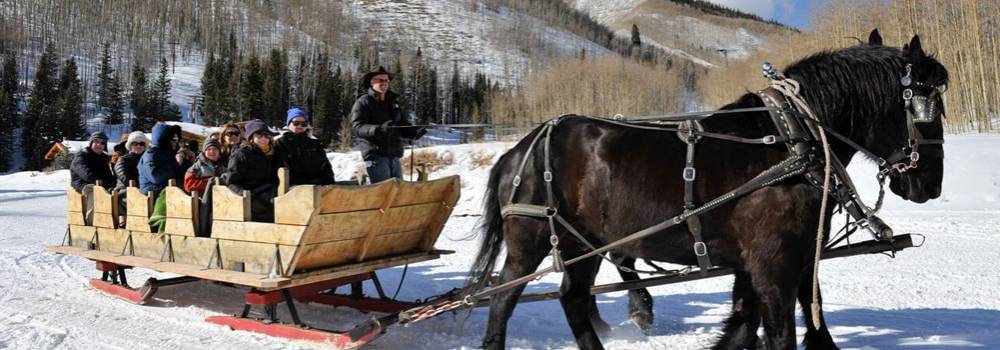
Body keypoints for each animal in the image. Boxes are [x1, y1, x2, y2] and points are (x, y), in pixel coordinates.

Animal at [466, 30, 944, 350]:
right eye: (928, 109)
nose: (931, 184)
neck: (794, 139)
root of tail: (518, 149)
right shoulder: (774, 263)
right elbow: (778, 332)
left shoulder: (780, 260)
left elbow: (754, 328)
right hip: (532, 242)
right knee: (503, 300)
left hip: (583, 244)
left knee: (573, 299)